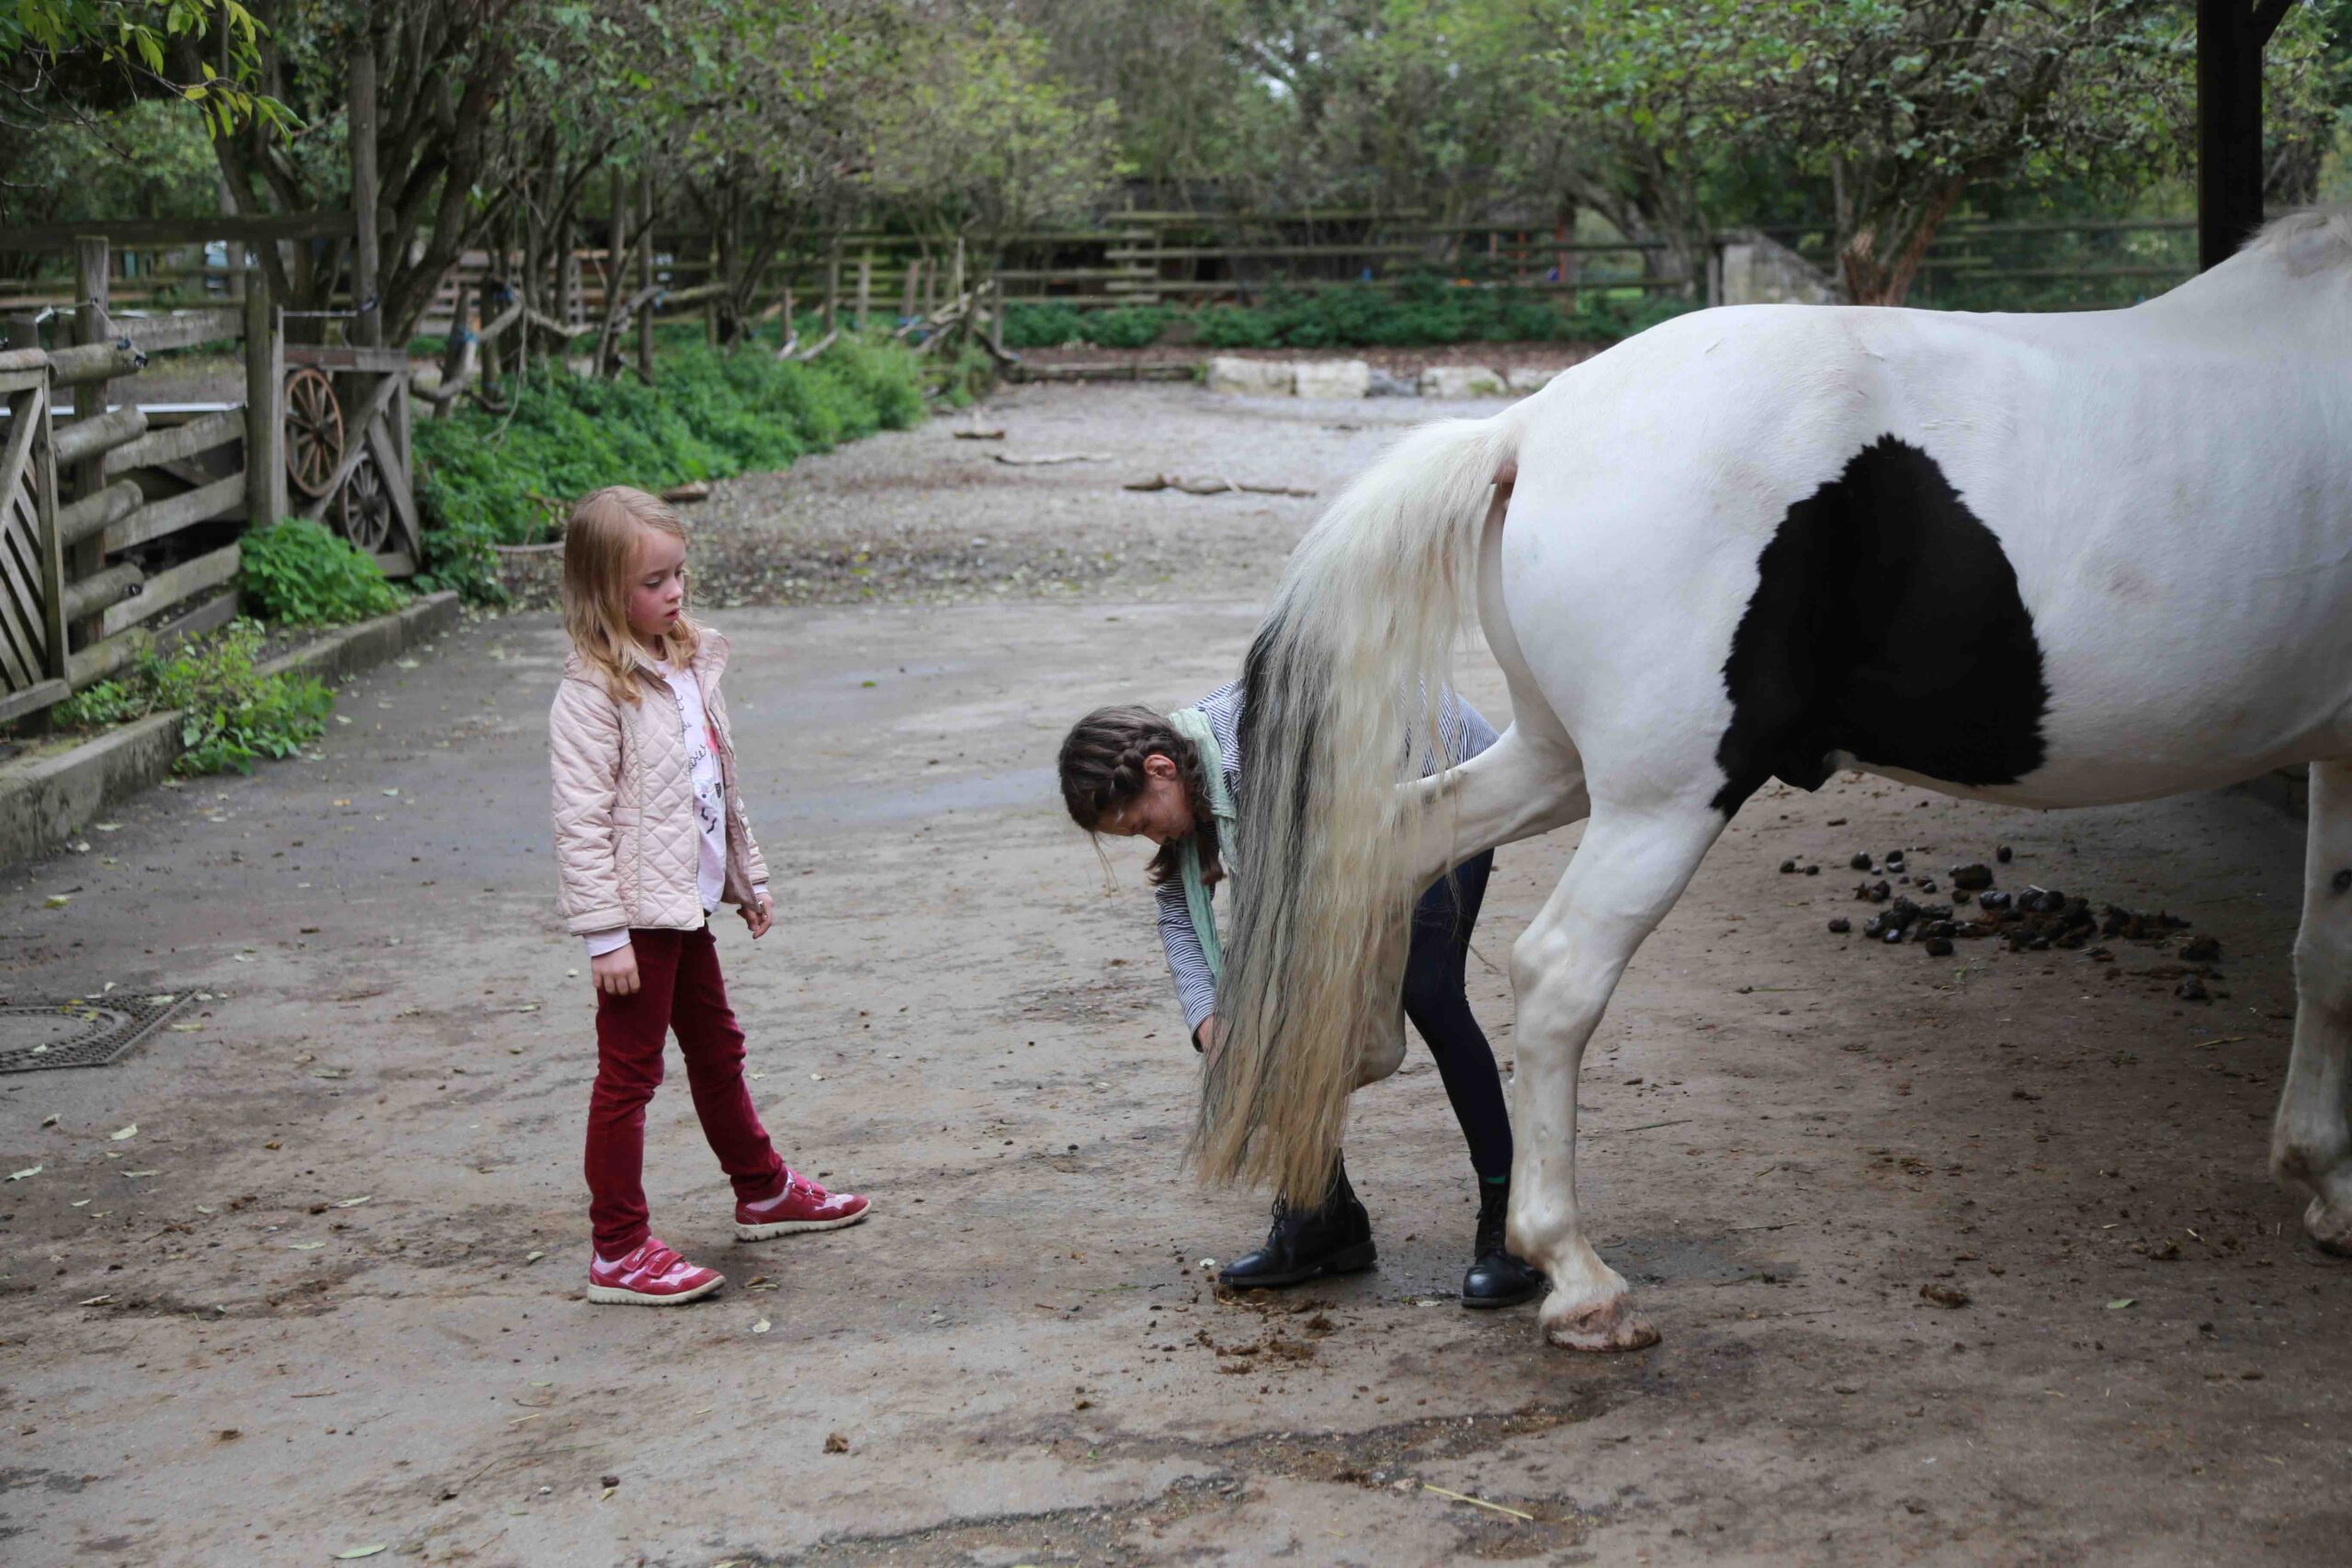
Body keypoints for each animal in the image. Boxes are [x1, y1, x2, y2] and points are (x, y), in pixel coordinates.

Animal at [1204, 208, 2342, 1354]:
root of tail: (1527, 428)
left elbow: (2321, 954)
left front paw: (2322, 1182)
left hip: (1555, 764)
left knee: (1392, 847)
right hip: (1661, 803)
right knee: (1557, 974)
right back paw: (1576, 1275)